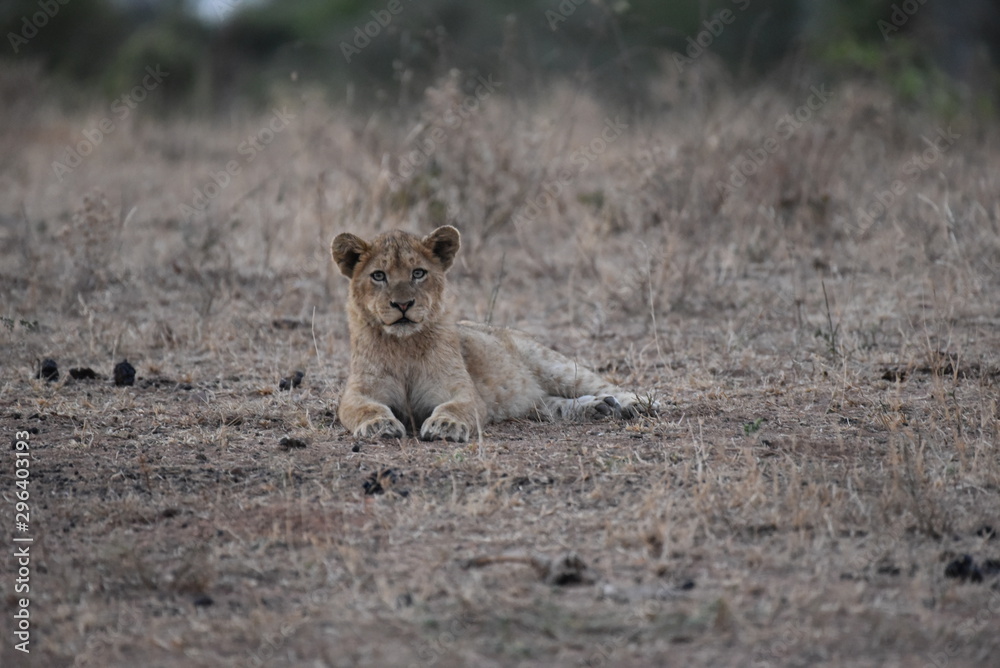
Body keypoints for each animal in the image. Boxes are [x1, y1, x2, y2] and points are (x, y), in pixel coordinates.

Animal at [331, 225, 655, 442]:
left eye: (418, 273)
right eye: (378, 275)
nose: (402, 304)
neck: (403, 346)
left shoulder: (463, 391)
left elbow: (455, 406)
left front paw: (445, 426)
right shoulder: (357, 393)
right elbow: (363, 408)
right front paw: (378, 426)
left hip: (552, 364)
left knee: (598, 383)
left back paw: (633, 404)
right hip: (534, 399)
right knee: (548, 404)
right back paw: (598, 407)